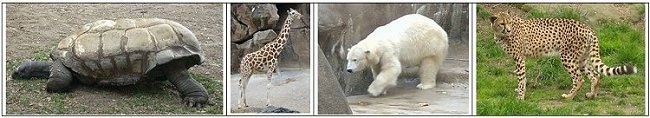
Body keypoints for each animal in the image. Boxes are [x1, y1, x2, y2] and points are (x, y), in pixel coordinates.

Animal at [488, 11, 636, 99]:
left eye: (509, 23)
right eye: (502, 23)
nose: (508, 30)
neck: (500, 35)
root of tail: (587, 28)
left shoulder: (519, 58)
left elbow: (520, 77)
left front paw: (520, 96)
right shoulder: (519, 58)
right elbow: (522, 78)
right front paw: (521, 91)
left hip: (567, 57)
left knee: (579, 79)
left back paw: (569, 96)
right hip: (581, 59)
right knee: (595, 75)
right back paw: (591, 95)